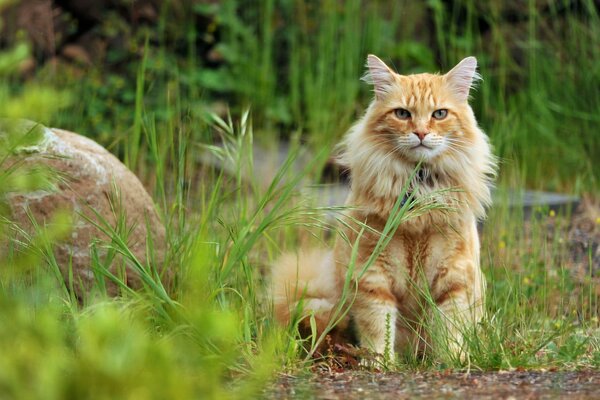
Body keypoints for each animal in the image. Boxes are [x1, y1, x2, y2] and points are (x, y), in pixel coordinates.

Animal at [274, 54, 496, 362]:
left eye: (439, 114)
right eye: (402, 114)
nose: (421, 132)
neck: (418, 190)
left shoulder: (454, 280)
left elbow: (451, 331)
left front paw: (453, 361)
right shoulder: (373, 279)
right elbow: (379, 327)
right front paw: (382, 363)